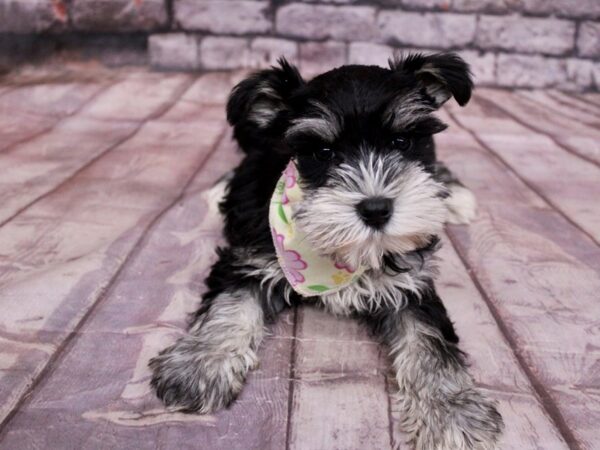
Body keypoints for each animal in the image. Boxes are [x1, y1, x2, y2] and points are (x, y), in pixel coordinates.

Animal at [149, 53, 502, 450]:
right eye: (323, 152)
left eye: (402, 141)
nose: (376, 208)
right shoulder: (248, 256)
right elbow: (229, 305)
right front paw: (200, 364)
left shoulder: (412, 279)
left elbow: (428, 340)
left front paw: (451, 411)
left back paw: (452, 193)